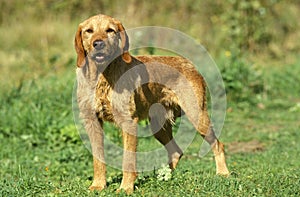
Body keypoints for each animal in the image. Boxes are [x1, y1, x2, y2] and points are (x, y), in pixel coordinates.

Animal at [74, 14, 229, 194]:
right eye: (89, 31)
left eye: (110, 30)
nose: (98, 44)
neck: (100, 76)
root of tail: (190, 64)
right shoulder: (92, 121)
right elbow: (98, 158)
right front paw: (98, 185)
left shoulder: (128, 121)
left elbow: (128, 159)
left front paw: (126, 187)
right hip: (158, 126)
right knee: (175, 151)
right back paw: (165, 176)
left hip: (197, 116)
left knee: (218, 144)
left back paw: (223, 173)